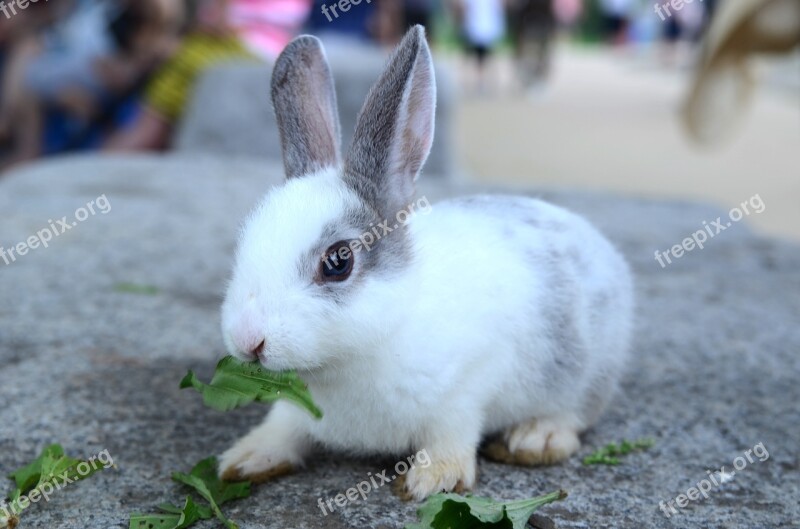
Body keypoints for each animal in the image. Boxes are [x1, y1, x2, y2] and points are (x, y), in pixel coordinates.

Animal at [217, 25, 632, 504]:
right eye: (247, 237)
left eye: (338, 261)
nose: (248, 340)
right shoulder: (297, 408)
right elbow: (283, 428)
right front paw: (243, 460)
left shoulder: (468, 385)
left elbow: (453, 432)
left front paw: (433, 479)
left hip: (584, 372)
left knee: (576, 415)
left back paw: (535, 439)